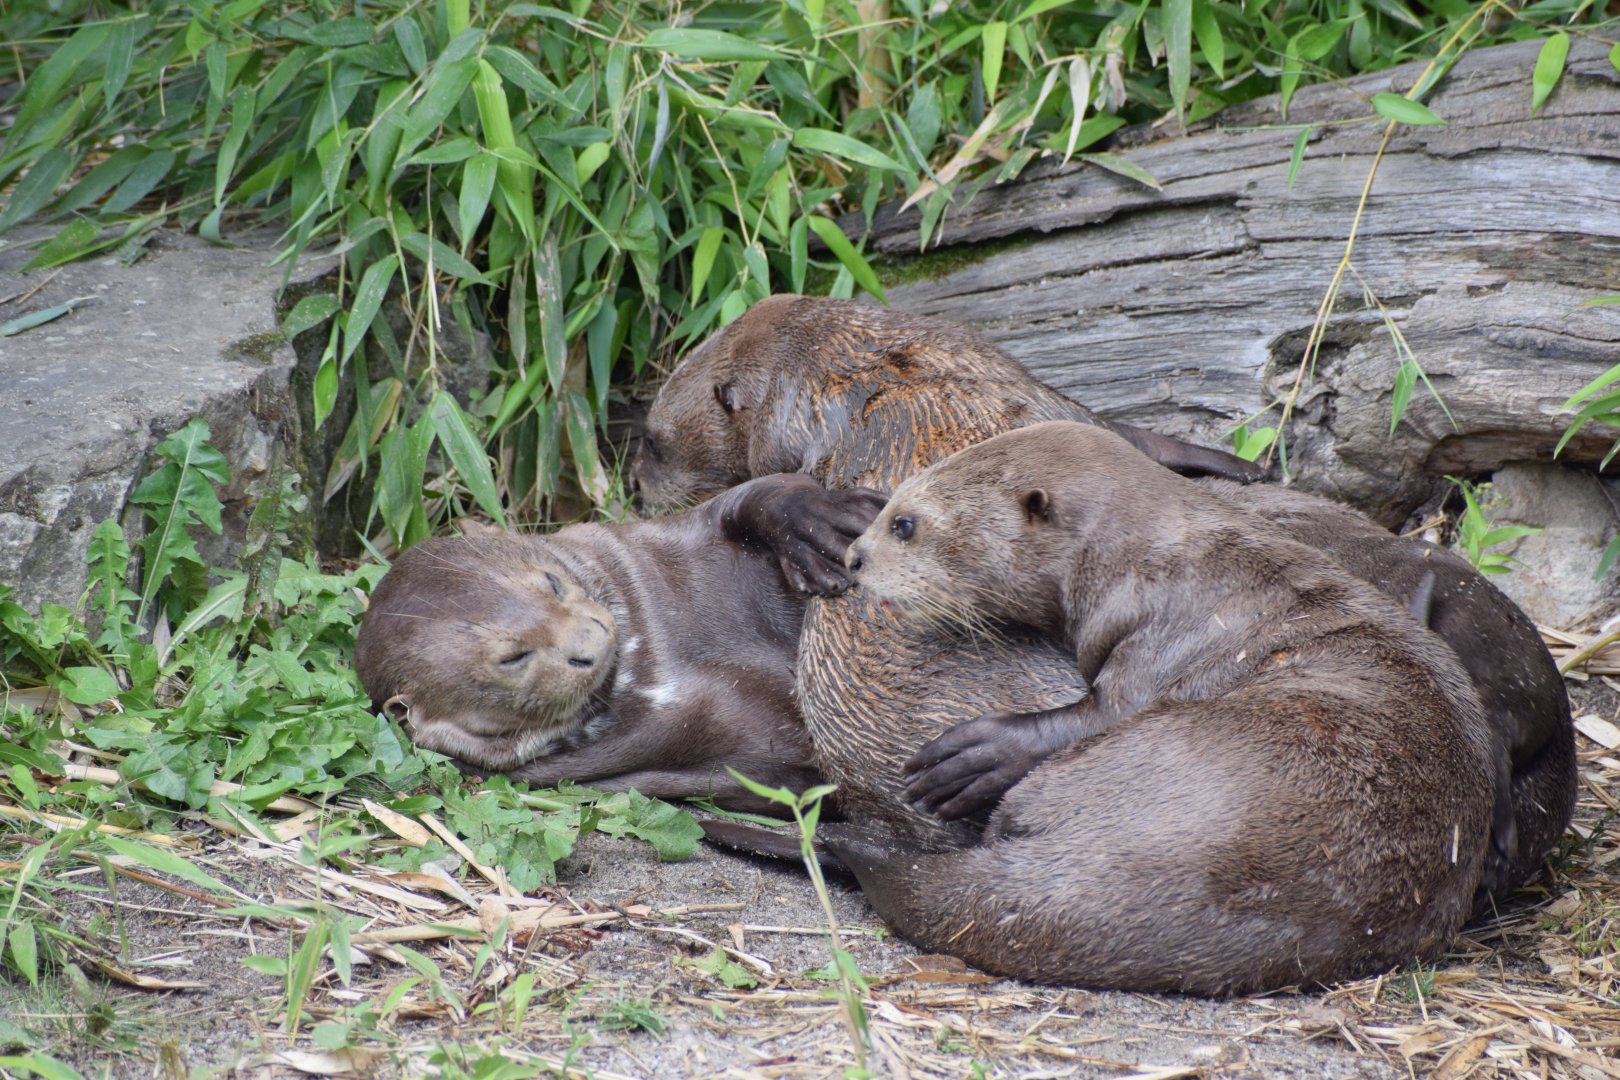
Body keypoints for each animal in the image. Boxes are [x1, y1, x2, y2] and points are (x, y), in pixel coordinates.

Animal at [353, 475, 883, 814]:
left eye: (552, 583)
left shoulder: (669, 531)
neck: (657, 654)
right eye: (513, 657)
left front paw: (816, 524)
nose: (591, 641)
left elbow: (757, 492)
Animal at [833, 421, 1495, 994]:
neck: (1146, 559)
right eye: (887, 507)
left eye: (905, 524)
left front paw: (975, 757)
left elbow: (1102, 711)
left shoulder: (1164, 635)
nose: (852, 558)